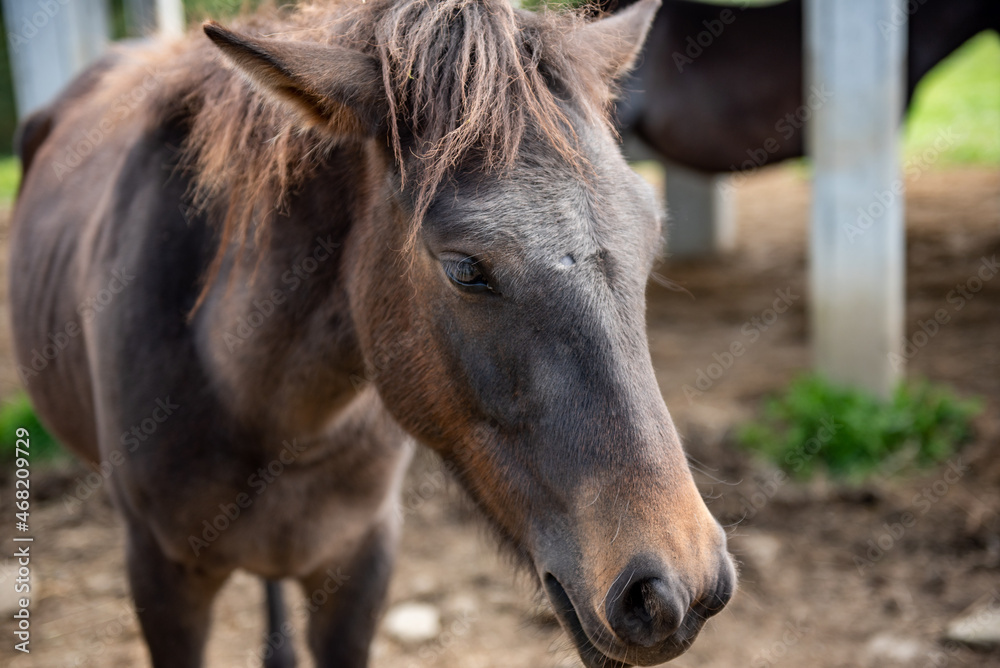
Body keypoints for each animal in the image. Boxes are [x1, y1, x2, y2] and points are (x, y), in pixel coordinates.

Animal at [7, 1, 736, 668]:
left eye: (651, 231)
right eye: (466, 269)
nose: (676, 589)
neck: (254, 402)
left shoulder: (359, 565)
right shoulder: (163, 581)